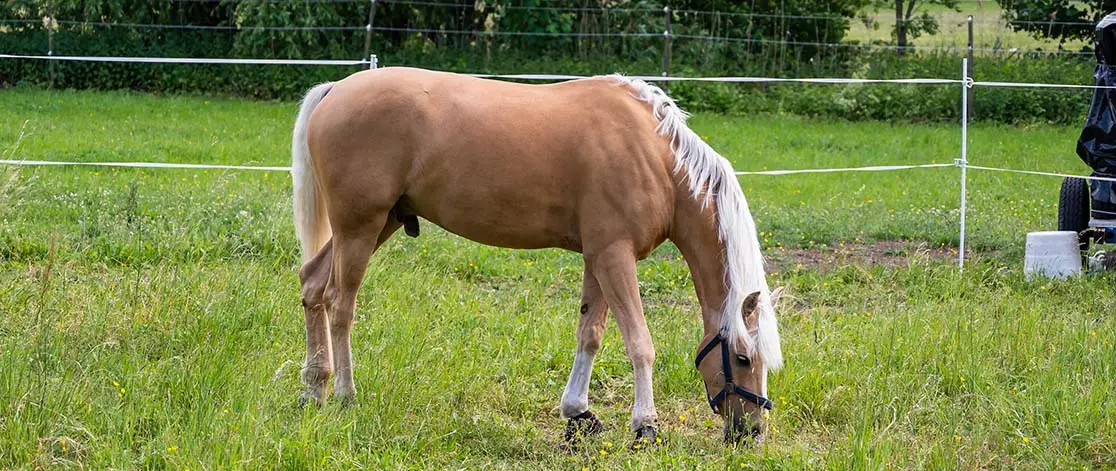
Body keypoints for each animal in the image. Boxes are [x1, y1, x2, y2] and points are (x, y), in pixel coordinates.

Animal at [290, 67, 784, 444]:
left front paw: (579, 413)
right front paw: (645, 425)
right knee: (340, 303)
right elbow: (640, 342)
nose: (751, 432)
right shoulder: (615, 256)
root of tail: (336, 88)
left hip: (379, 223)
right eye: (743, 359)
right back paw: (345, 396)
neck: (655, 155)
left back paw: (314, 389)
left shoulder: (598, 258)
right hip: (360, 226)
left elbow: (590, 334)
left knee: (313, 284)